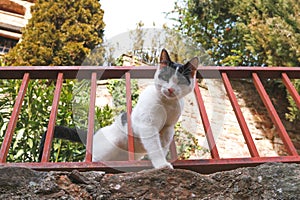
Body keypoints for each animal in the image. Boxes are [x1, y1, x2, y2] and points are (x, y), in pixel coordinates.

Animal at [38, 48, 198, 169]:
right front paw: (161, 165)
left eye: (180, 81)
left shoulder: (167, 130)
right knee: (89, 160)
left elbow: (162, 148)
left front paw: (163, 161)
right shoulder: (148, 125)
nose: (170, 89)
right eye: (165, 77)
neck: (167, 104)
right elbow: (155, 147)